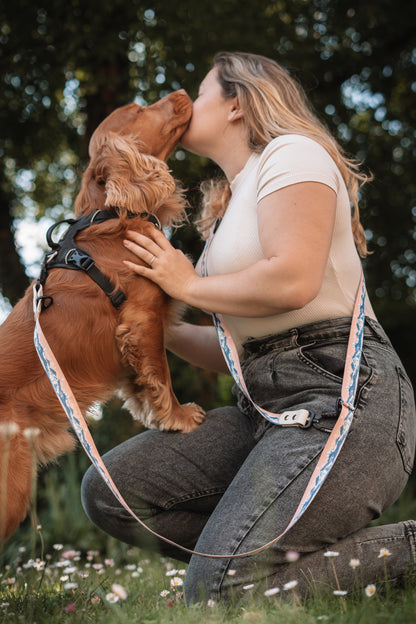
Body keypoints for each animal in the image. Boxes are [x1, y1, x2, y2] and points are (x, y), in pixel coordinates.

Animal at [0, 90, 205, 544]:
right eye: (141, 109)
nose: (184, 93)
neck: (108, 216)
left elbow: (143, 381)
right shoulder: (143, 317)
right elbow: (162, 373)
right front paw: (179, 418)